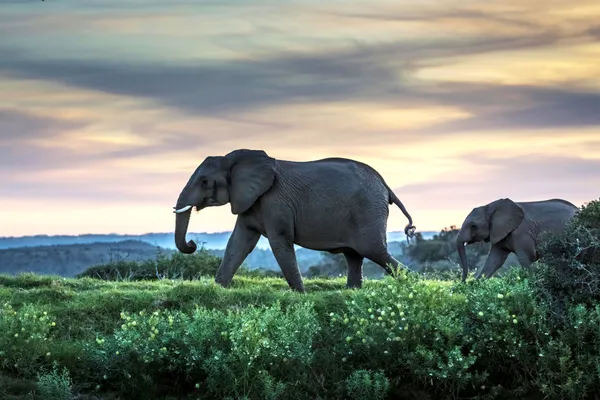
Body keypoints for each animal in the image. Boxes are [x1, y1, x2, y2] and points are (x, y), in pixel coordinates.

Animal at [173, 148, 418, 292]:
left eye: (204, 182)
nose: (192, 244)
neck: (234, 160)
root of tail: (386, 187)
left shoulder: (274, 201)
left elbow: (279, 242)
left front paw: (300, 294)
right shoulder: (250, 200)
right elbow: (239, 242)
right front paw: (218, 289)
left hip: (368, 210)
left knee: (373, 250)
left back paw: (413, 285)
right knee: (354, 255)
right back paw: (353, 291)